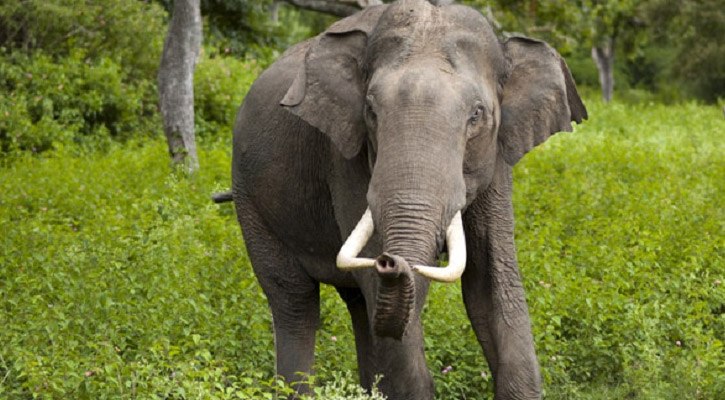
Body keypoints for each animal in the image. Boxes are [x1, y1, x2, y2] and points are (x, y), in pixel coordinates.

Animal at [218, 1, 584, 398]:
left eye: (477, 114)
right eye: (371, 111)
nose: (389, 261)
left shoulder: (498, 159)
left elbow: (491, 285)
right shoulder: (345, 157)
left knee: (359, 305)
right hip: (249, 198)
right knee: (295, 301)